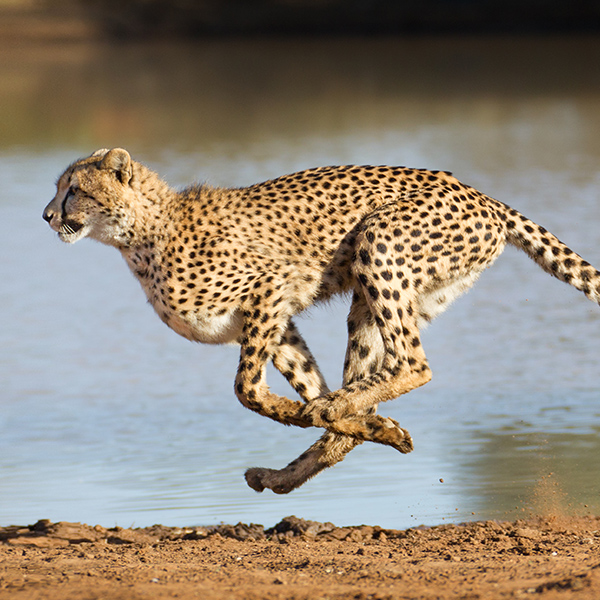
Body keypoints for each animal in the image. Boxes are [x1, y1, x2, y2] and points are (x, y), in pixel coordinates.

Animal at [43, 149, 600, 492]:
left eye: (74, 190)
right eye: (60, 189)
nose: (47, 216)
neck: (139, 235)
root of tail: (477, 192)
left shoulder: (272, 284)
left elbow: (248, 389)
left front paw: (313, 412)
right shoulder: (274, 319)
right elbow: (306, 388)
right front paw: (370, 426)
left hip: (379, 242)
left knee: (413, 363)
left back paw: (337, 413)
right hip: (375, 299)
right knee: (371, 380)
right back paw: (295, 465)